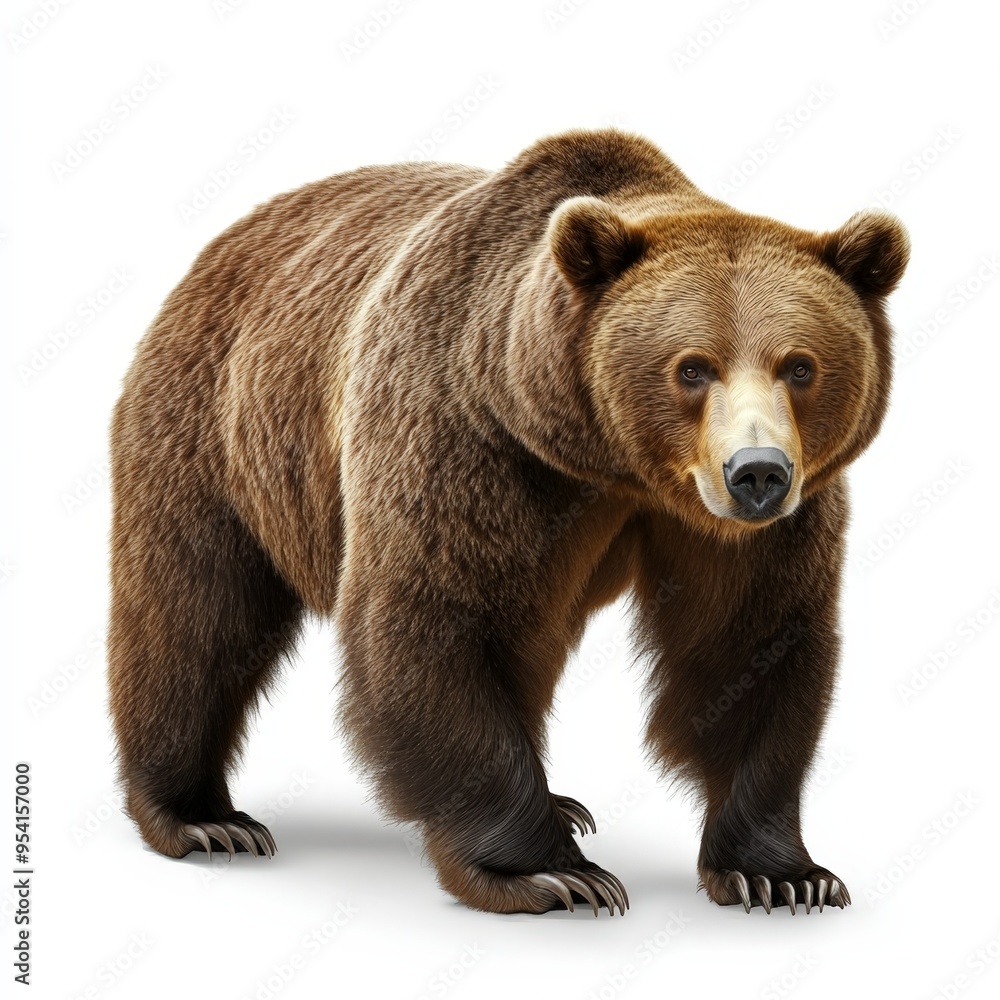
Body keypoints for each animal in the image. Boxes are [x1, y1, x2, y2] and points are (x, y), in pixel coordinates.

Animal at [108, 128, 908, 917]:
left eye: (800, 366)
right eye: (692, 367)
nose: (757, 473)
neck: (606, 460)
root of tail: (227, 241)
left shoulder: (743, 527)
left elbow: (748, 642)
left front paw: (781, 875)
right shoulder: (470, 437)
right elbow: (436, 619)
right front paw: (551, 875)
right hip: (218, 424)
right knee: (197, 609)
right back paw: (203, 818)